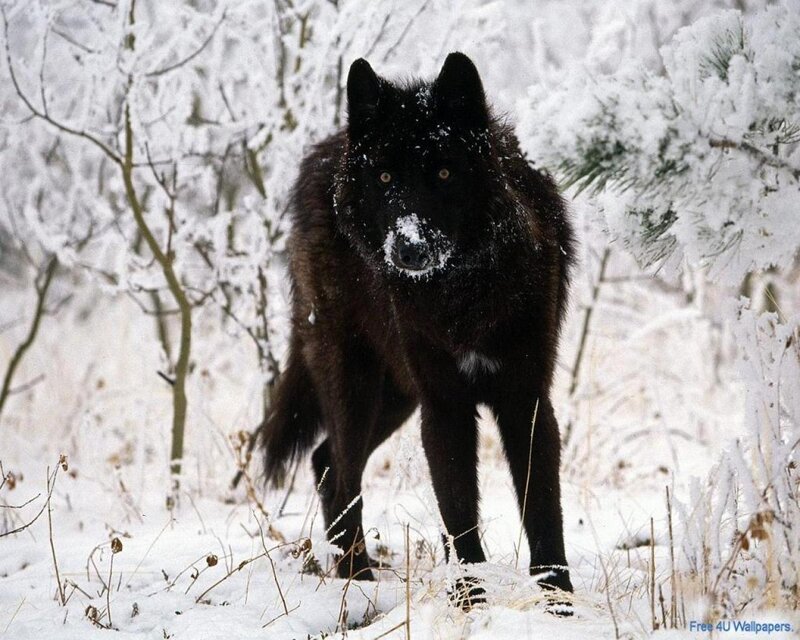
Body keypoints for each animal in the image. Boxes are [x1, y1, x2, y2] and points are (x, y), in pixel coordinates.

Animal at [260, 52, 575, 599]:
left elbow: (541, 509)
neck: (462, 294)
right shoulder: (444, 406)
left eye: (445, 172)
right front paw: (469, 598)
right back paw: (357, 580)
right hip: (357, 385)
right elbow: (459, 513)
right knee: (341, 470)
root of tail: (324, 151)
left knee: (325, 462)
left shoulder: (525, 399)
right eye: (385, 178)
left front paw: (559, 601)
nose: (409, 249)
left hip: (397, 396)